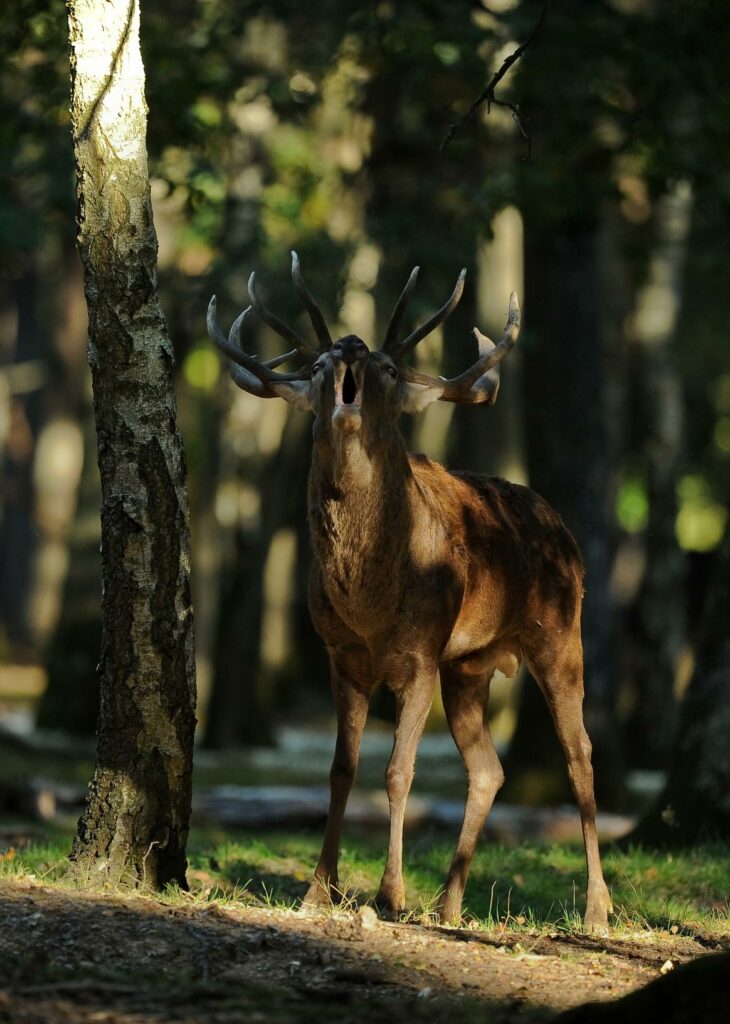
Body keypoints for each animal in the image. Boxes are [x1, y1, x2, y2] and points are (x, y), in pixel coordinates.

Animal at [207, 252, 613, 933]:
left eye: (388, 368)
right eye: (317, 367)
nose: (348, 345)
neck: (371, 600)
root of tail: (561, 527)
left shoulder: (420, 652)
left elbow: (398, 771)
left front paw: (389, 895)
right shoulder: (341, 656)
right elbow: (342, 769)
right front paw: (318, 889)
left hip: (560, 632)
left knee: (579, 752)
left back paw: (596, 908)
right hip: (469, 665)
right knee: (488, 768)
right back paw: (449, 904)